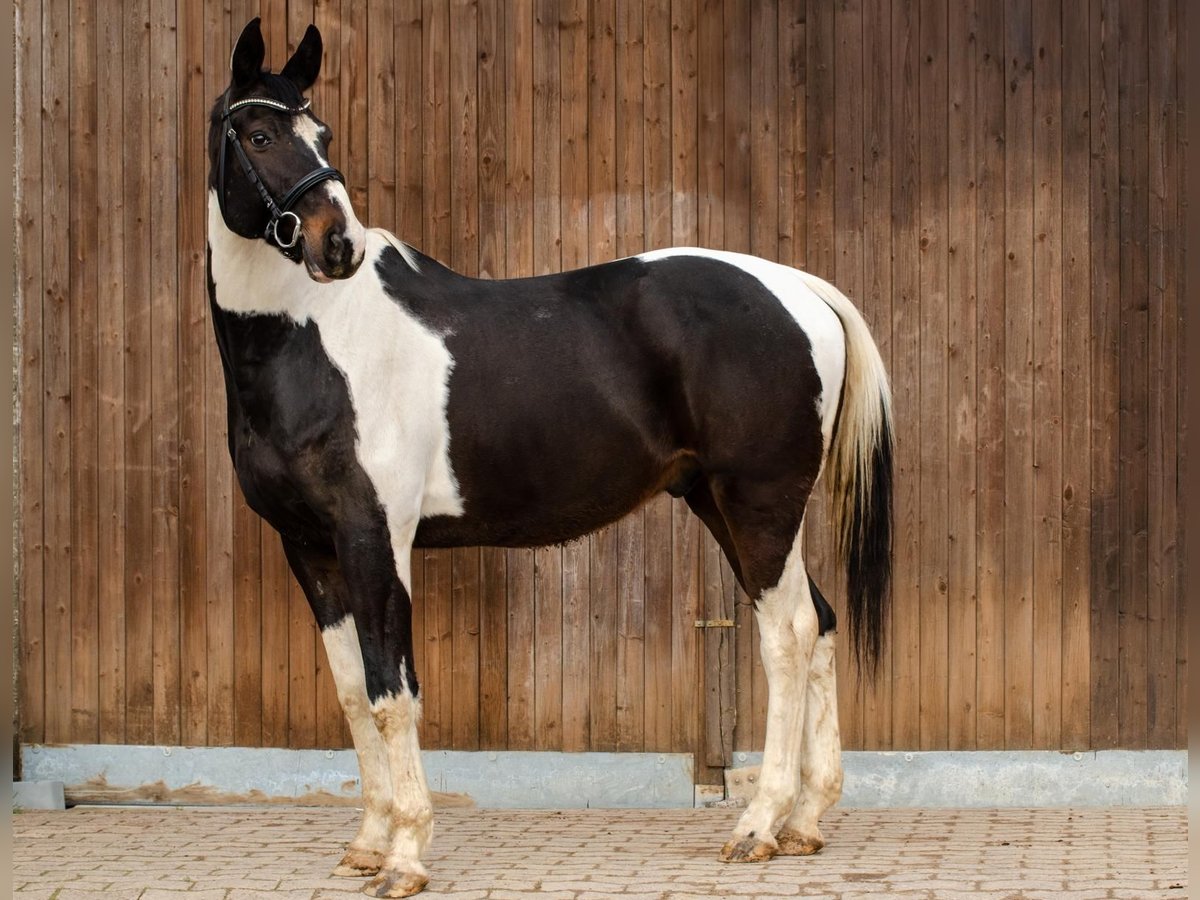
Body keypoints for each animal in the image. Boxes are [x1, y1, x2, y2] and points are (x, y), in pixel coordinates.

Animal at [211, 15, 892, 900]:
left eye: (320, 133)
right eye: (260, 134)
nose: (338, 246)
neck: (317, 339)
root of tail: (800, 288)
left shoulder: (375, 538)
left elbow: (394, 691)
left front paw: (406, 854)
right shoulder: (310, 549)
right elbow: (354, 694)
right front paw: (366, 842)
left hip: (759, 504)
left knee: (788, 635)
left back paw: (757, 826)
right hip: (727, 504)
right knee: (822, 624)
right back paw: (805, 823)